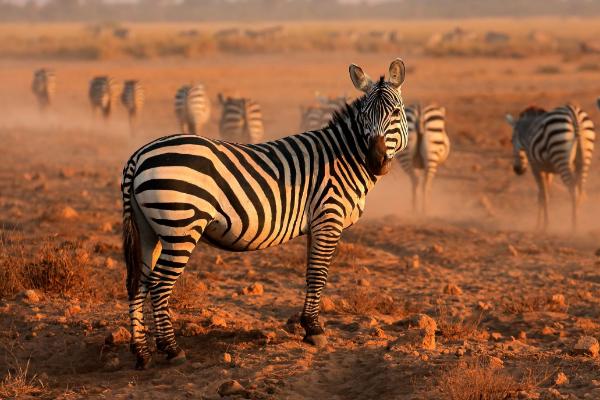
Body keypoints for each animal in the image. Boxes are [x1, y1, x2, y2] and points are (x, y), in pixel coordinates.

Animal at [123, 59, 412, 368]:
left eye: (395, 113)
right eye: (363, 117)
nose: (375, 161)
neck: (343, 158)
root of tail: (138, 155)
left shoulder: (317, 224)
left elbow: (310, 273)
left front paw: (308, 326)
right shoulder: (328, 217)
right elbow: (319, 273)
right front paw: (315, 330)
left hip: (150, 229)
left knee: (138, 283)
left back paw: (141, 353)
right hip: (181, 227)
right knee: (158, 285)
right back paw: (172, 349)